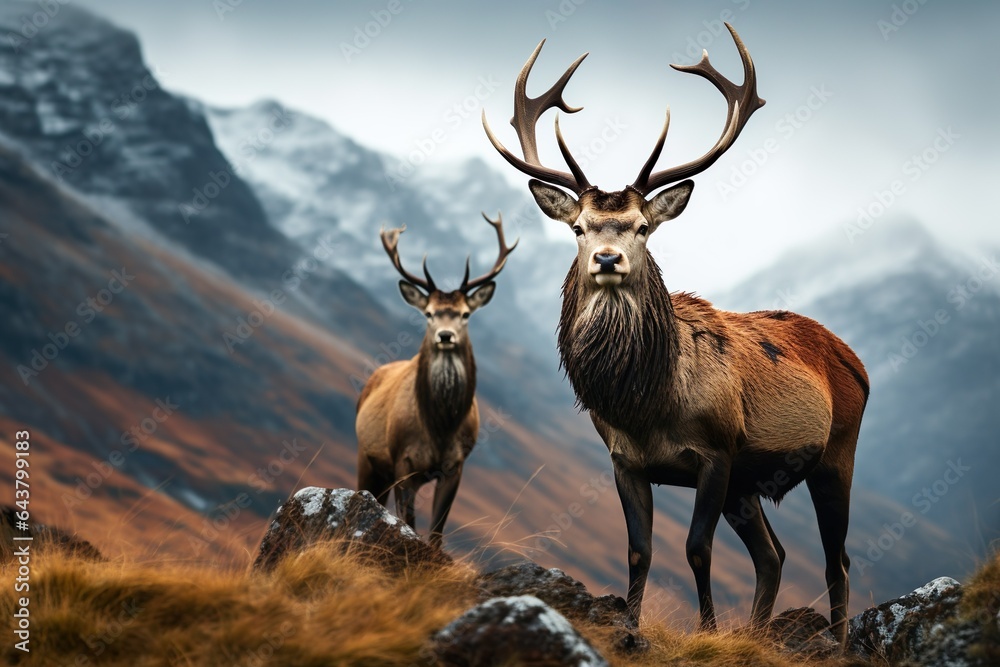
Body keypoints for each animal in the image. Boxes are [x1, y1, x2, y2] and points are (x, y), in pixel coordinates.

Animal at [355, 214, 516, 548]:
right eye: (428, 313)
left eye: (466, 314)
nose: (445, 335)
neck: (440, 428)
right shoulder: (402, 462)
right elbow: (408, 522)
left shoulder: (456, 465)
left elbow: (437, 531)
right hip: (367, 455)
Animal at [482, 24, 868, 646]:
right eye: (579, 227)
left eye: (642, 226)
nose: (608, 258)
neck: (649, 406)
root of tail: (853, 357)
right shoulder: (627, 461)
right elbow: (640, 551)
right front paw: (629, 630)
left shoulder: (717, 454)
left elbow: (696, 550)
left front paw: (707, 632)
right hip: (750, 486)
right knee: (775, 556)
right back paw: (756, 635)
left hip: (837, 452)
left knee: (837, 558)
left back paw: (834, 642)